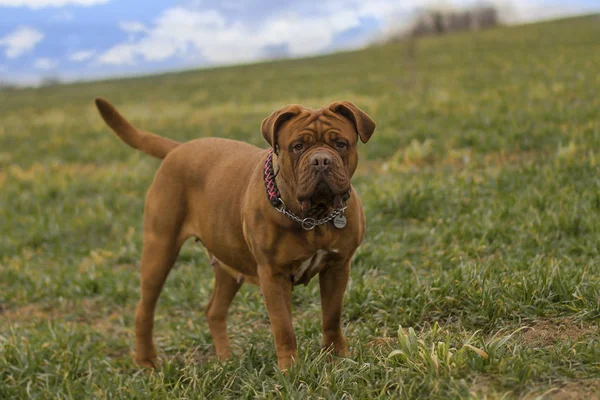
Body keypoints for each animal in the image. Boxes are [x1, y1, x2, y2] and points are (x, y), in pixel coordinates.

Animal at [94, 96, 376, 368]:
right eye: (297, 146)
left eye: (340, 143)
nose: (321, 160)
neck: (312, 218)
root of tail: (177, 148)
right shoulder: (273, 276)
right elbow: (284, 328)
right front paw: (291, 371)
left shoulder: (338, 266)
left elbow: (332, 316)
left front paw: (338, 357)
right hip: (159, 251)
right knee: (145, 310)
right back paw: (146, 361)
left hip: (227, 261)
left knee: (214, 310)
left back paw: (226, 359)